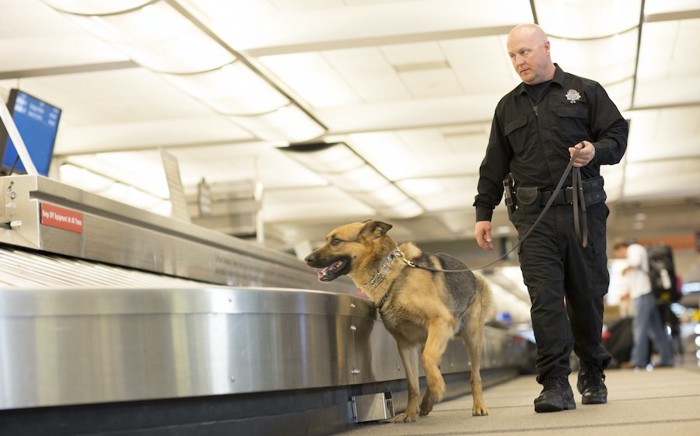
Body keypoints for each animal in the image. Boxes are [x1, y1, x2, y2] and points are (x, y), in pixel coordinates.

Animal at [306, 220, 492, 420]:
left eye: (336, 241)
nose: (307, 259)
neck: (387, 271)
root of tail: (472, 275)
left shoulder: (440, 320)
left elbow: (427, 359)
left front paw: (438, 388)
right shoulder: (405, 343)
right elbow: (412, 383)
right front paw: (410, 413)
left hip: (471, 338)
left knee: (474, 375)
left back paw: (477, 405)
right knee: (436, 366)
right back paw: (427, 402)